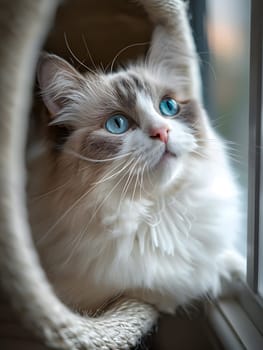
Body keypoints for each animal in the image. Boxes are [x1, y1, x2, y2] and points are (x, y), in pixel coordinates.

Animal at [27, 0, 245, 314]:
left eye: (168, 107)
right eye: (117, 124)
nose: (162, 132)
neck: (156, 211)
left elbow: (218, 261)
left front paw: (236, 268)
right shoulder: (97, 291)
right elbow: (177, 283)